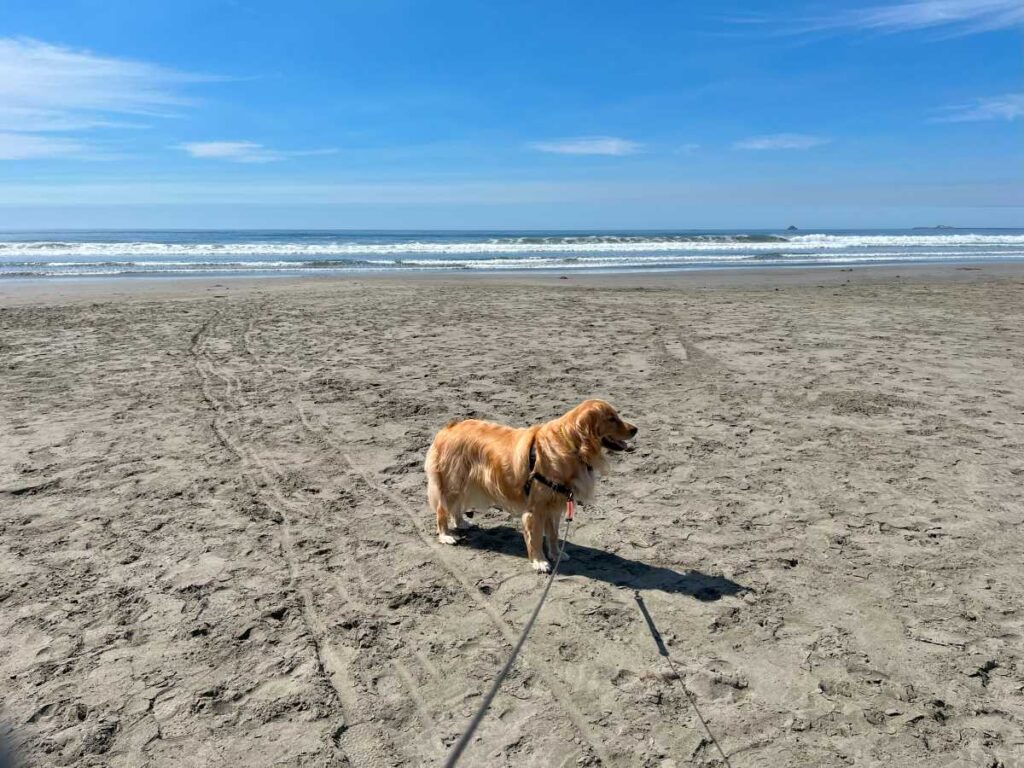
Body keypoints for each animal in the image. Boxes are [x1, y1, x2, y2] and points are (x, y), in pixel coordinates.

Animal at [421, 403, 630, 573]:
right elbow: (536, 538)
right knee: (441, 510)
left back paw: (460, 522)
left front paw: (556, 555)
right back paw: (445, 535)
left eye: (616, 416)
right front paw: (540, 562)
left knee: (455, 506)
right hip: (452, 483)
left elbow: (553, 535)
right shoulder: (535, 510)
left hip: (464, 483)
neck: (568, 446)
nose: (634, 429)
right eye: (611, 419)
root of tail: (449, 428)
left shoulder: (553, 506)